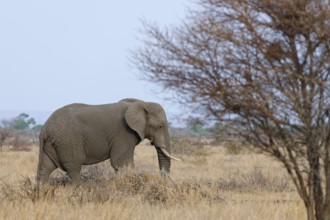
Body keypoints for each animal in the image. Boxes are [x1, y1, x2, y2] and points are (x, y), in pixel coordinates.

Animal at [36, 98, 180, 182]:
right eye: (160, 126)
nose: (165, 181)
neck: (142, 103)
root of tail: (45, 128)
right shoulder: (124, 133)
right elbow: (121, 162)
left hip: (53, 144)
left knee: (45, 168)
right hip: (68, 141)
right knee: (74, 169)